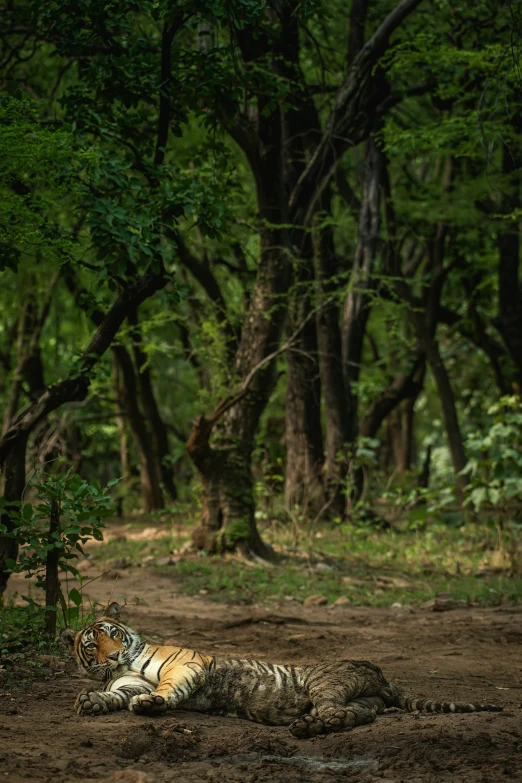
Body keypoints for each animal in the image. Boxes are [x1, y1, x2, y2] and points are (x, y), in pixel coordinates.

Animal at [61, 604, 500, 740]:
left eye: (113, 633)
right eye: (91, 644)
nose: (113, 655)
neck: (127, 663)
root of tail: (381, 672)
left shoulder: (187, 665)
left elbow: (166, 687)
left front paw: (151, 703)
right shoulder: (125, 682)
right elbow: (115, 695)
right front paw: (90, 701)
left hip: (325, 682)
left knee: (336, 712)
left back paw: (306, 727)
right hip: (361, 698)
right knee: (357, 714)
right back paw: (311, 726)